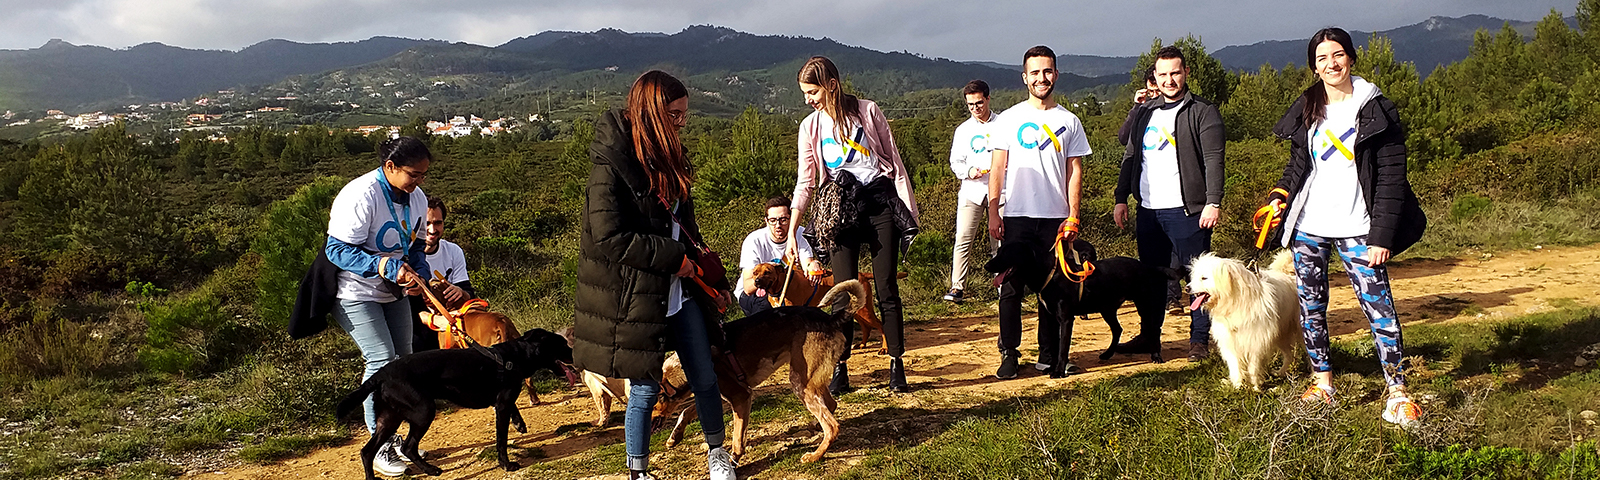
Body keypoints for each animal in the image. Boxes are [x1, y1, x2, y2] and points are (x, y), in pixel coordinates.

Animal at [336, 328, 576, 476]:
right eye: (562, 345)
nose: (575, 354)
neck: (514, 356)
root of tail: (381, 374)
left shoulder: (503, 401)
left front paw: (519, 423)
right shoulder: (502, 405)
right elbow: (501, 440)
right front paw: (507, 465)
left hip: (389, 419)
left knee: (367, 452)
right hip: (423, 411)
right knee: (408, 446)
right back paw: (431, 470)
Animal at [656, 280, 870, 464]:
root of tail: (831, 318)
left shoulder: (741, 396)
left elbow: (737, 437)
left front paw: (734, 461)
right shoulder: (716, 394)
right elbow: (686, 411)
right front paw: (675, 437)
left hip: (800, 383)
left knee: (832, 426)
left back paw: (815, 455)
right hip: (810, 378)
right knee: (831, 406)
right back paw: (816, 427)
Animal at [745, 262, 908, 352]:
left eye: (767, 272)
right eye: (754, 273)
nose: (757, 281)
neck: (782, 284)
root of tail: (861, 274)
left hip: (864, 310)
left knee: (880, 325)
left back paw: (885, 348)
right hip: (857, 310)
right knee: (866, 326)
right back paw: (862, 344)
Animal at [979, 238, 1184, 377]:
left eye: (1007, 252)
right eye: (999, 250)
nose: (986, 265)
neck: (1049, 274)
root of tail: (1146, 266)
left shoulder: (1065, 319)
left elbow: (1063, 348)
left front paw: (1059, 371)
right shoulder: (1051, 318)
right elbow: (1054, 346)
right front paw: (1052, 367)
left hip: (1143, 304)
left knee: (1153, 329)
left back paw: (1156, 356)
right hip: (1107, 308)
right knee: (1118, 329)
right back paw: (1108, 354)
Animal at [1184, 251, 1305, 390]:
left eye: (1204, 278)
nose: (1186, 288)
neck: (1234, 303)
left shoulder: (1256, 342)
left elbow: (1253, 367)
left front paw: (1256, 388)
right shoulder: (1230, 342)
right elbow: (1235, 366)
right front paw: (1238, 386)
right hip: (1281, 335)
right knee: (1289, 355)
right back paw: (1280, 372)